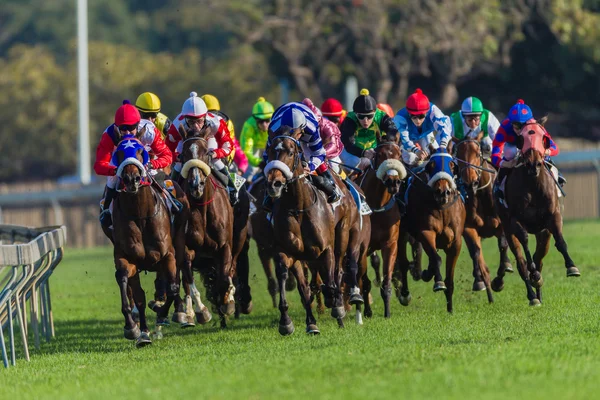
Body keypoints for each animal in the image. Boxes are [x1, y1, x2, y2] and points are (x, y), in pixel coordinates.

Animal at [110, 136, 188, 346]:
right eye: (119, 152)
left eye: (140, 151)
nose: (131, 179)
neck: (139, 214)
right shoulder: (127, 258)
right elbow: (125, 283)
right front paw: (132, 328)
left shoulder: (167, 255)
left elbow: (173, 288)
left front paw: (164, 313)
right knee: (139, 295)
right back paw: (143, 332)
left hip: (179, 243)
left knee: (177, 276)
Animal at [356, 139, 408, 318]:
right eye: (379, 155)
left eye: (399, 156)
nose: (393, 181)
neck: (377, 206)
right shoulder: (362, 248)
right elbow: (364, 281)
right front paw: (367, 311)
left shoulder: (390, 244)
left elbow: (386, 281)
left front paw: (387, 313)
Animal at [398, 149, 468, 312]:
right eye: (431, 165)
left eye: (451, 165)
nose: (443, 192)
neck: (441, 209)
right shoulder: (426, 232)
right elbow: (436, 259)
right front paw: (438, 283)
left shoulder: (455, 242)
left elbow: (449, 278)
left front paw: (450, 309)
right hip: (402, 231)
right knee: (403, 262)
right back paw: (405, 294)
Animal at [494, 119, 580, 306]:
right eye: (521, 139)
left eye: (544, 138)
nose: (534, 164)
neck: (533, 184)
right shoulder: (514, 220)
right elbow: (525, 244)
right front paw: (533, 274)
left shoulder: (552, 217)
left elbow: (560, 242)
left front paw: (572, 266)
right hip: (507, 229)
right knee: (521, 263)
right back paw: (533, 295)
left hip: (543, 232)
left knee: (539, 257)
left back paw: (538, 291)